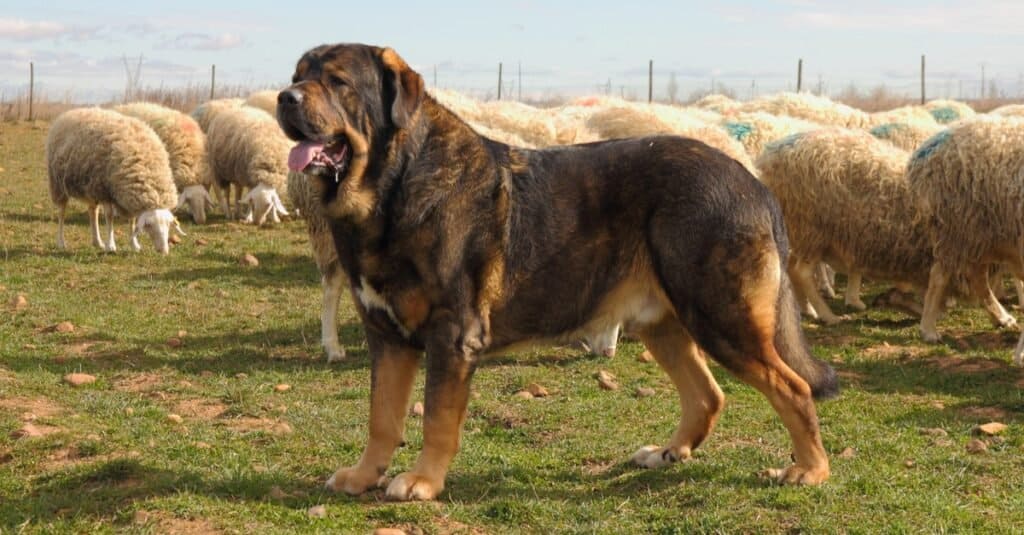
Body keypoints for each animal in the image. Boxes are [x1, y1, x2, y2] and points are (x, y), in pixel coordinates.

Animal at [47, 107, 184, 253]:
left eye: (169, 225)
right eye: (149, 225)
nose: (164, 251)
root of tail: (70, 112)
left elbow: (132, 220)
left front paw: (134, 244)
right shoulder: (104, 190)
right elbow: (109, 216)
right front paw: (111, 245)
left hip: (90, 185)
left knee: (93, 211)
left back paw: (97, 242)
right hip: (59, 185)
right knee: (62, 212)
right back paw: (61, 242)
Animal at [274, 43, 839, 498]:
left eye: (338, 82)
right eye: (299, 73)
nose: (284, 97)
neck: (393, 186)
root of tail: (752, 183)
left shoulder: (452, 335)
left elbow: (435, 417)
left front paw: (422, 481)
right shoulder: (386, 336)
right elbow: (382, 416)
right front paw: (365, 475)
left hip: (722, 318)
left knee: (793, 388)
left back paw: (810, 470)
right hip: (664, 323)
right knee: (707, 394)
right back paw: (667, 453)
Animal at [753, 128, 937, 319]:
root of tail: (769, 160)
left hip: (801, 232)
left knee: (791, 268)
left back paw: (808, 309)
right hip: (813, 229)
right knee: (801, 273)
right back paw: (828, 315)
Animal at [905, 116, 1024, 350]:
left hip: (982, 235)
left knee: (977, 277)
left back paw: (1001, 317)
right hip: (959, 227)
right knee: (940, 275)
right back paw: (928, 330)